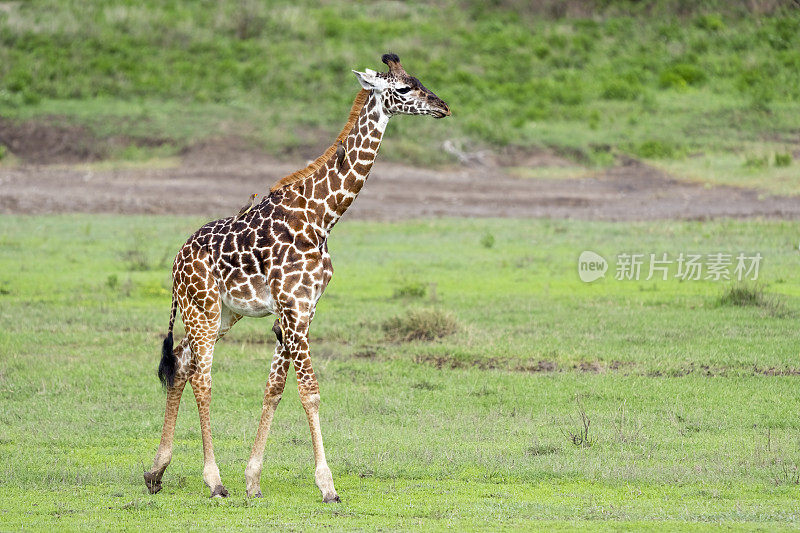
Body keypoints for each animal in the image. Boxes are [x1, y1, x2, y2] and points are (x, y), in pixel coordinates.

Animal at [144, 53, 450, 498]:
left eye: (419, 79)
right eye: (404, 88)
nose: (443, 106)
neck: (322, 217)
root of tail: (175, 262)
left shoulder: (302, 310)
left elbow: (275, 389)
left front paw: (253, 479)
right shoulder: (294, 306)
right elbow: (311, 392)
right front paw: (327, 485)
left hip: (223, 313)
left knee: (181, 364)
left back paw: (156, 471)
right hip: (202, 308)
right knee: (202, 378)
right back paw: (213, 480)